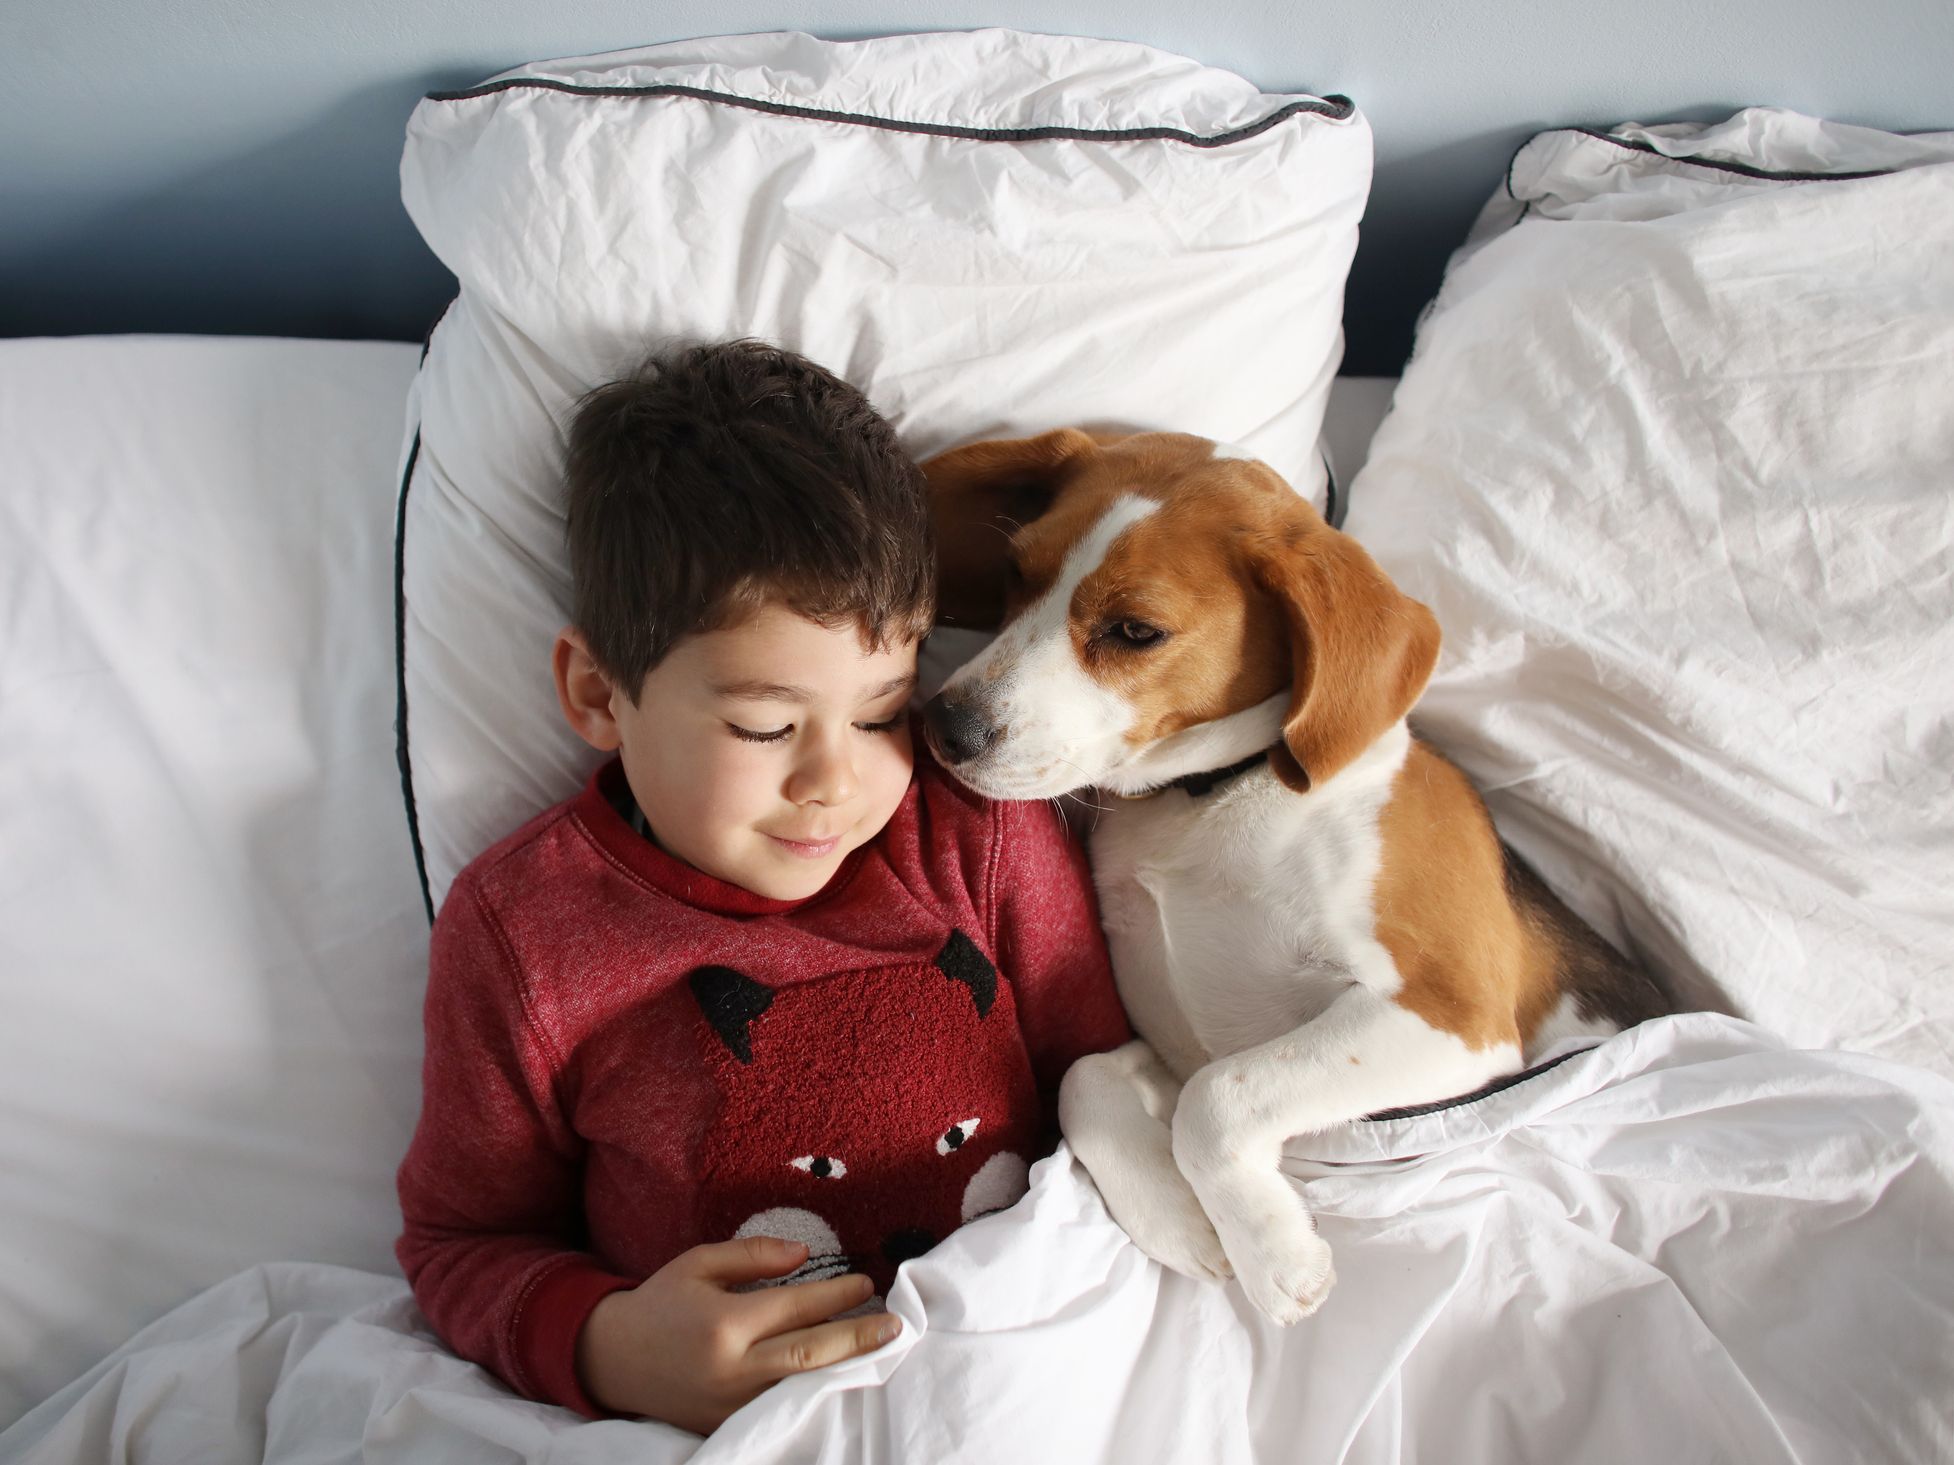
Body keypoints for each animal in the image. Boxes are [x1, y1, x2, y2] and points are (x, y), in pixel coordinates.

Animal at [914, 429, 1664, 1328]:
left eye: (1135, 630)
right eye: (1016, 570)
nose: (944, 726)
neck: (1214, 795)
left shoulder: (1453, 1015)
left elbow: (1217, 1099)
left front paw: (1276, 1257)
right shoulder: (1178, 1043)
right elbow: (1086, 1077)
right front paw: (1176, 1214)